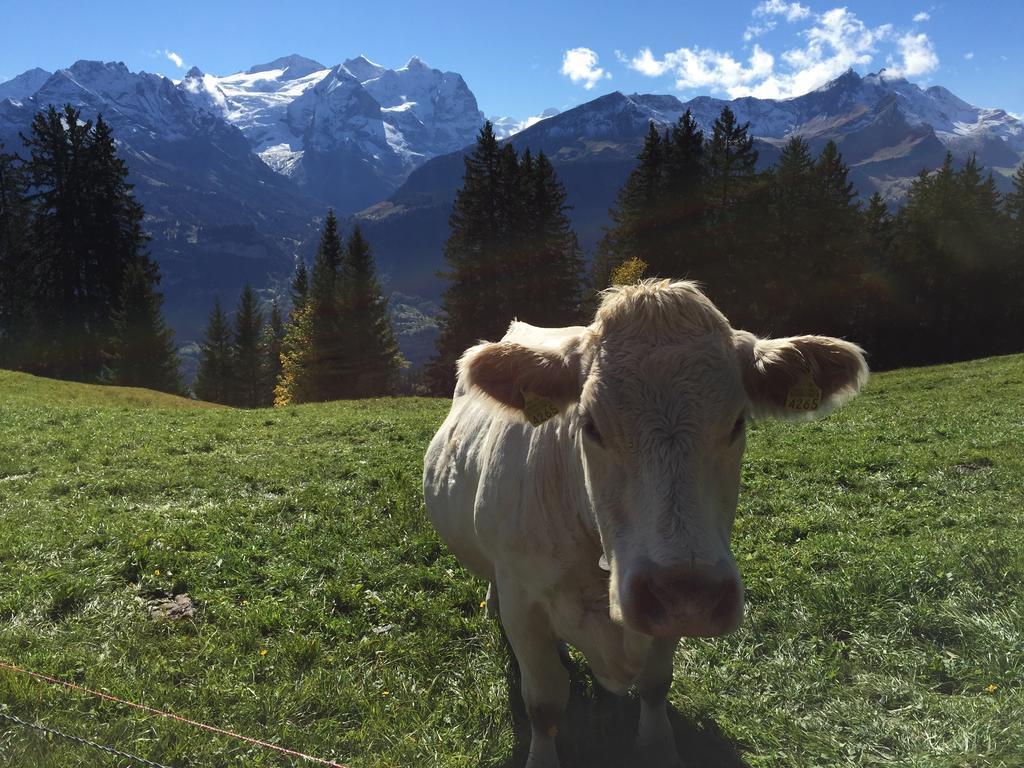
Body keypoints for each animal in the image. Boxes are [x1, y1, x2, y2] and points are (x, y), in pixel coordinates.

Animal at [419, 280, 868, 768]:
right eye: (590, 424)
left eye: (737, 422)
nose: (686, 592)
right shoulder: (524, 602)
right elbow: (544, 702)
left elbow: (656, 684)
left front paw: (658, 747)